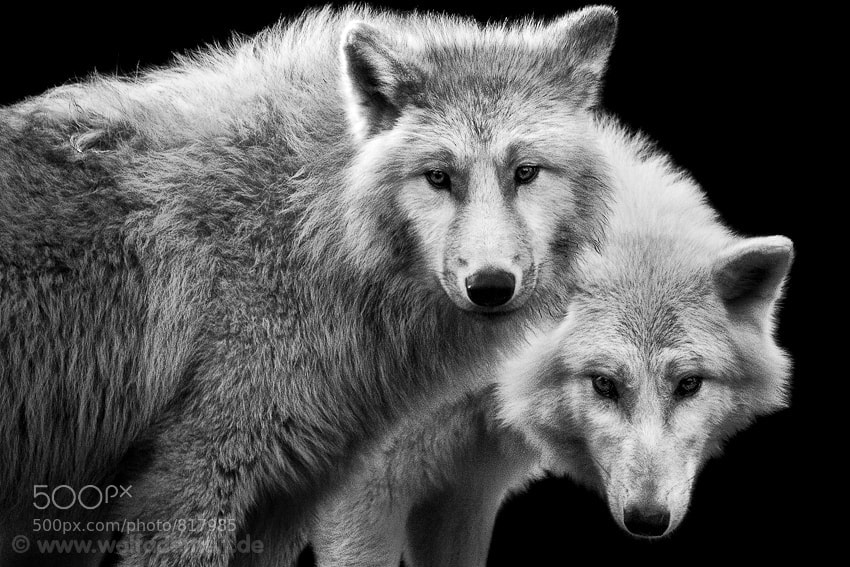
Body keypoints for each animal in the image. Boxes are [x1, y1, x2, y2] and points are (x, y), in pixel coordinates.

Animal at [0, 5, 619, 566]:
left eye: (525, 173)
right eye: (439, 177)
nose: (490, 285)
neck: (306, 224)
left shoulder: (288, 497)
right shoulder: (191, 477)